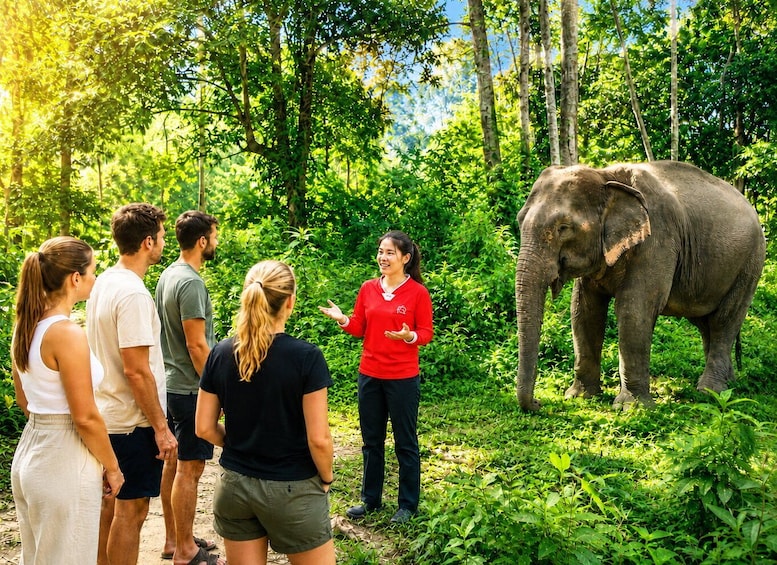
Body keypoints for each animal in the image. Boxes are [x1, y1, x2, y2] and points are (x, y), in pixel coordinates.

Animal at [515, 160, 765, 411]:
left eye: (564, 227)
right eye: (519, 220)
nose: (538, 402)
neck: (605, 175)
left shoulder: (658, 239)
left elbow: (634, 310)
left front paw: (631, 407)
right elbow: (583, 311)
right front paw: (579, 397)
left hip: (750, 264)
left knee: (724, 320)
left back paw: (710, 392)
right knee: (706, 324)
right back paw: (728, 383)